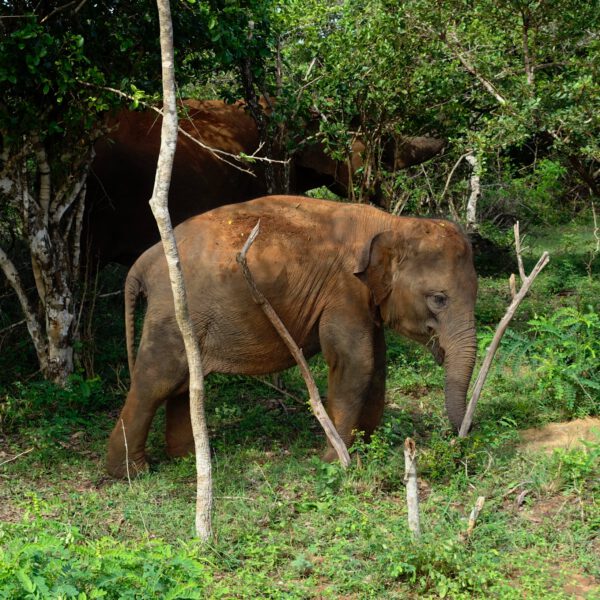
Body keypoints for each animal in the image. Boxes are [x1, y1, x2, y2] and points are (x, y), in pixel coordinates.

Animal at [105, 196, 476, 478]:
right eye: (438, 299)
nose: (461, 438)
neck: (392, 224)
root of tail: (144, 260)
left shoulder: (363, 301)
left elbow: (377, 364)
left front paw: (367, 447)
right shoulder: (344, 291)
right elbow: (355, 362)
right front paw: (336, 461)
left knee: (184, 381)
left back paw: (187, 460)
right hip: (173, 307)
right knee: (158, 380)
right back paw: (131, 473)